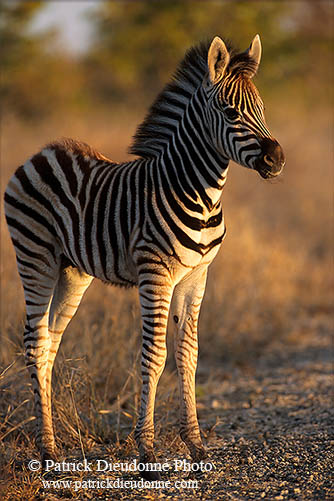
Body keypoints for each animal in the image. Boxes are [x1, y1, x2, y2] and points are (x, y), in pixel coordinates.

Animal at [3, 33, 284, 478]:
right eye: (231, 112)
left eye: (262, 111)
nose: (277, 160)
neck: (201, 193)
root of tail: (42, 151)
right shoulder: (156, 273)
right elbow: (155, 356)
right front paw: (147, 453)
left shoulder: (197, 275)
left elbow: (188, 354)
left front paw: (196, 446)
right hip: (35, 256)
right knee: (33, 341)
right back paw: (46, 454)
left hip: (72, 271)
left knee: (48, 343)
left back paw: (54, 448)